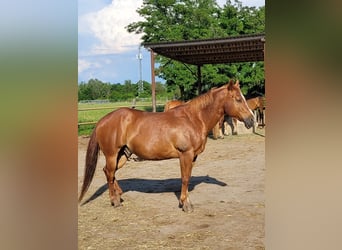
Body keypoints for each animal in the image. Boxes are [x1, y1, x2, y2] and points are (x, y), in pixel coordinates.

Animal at [78, 79, 254, 212]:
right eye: (238, 99)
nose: (251, 120)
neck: (194, 119)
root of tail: (102, 120)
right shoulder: (185, 154)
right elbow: (185, 179)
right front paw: (185, 205)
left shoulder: (193, 156)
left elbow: (187, 177)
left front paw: (186, 202)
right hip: (112, 154)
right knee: (109, 173)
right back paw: (114, 201)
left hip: (123, 155)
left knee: (110, 172)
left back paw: (119, 195)